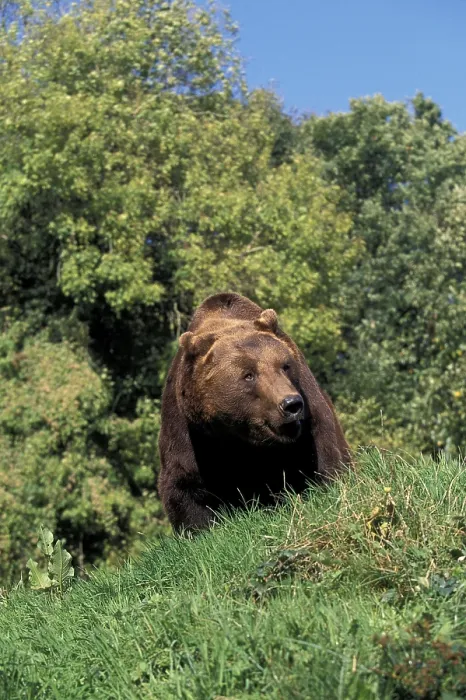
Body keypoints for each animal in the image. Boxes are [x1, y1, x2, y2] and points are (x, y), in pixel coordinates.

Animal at [158, 292, 351, 532]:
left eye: (285, 365)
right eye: (248, 375)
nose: (291, 404)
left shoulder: (310, 413)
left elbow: (326, 456)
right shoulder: (189, 433)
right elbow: (185, 489)